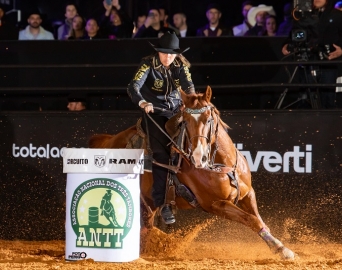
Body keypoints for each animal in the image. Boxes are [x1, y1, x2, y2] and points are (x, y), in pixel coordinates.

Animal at [89, 86, 296, 260]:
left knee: (145, 228)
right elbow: (251, 219)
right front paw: (281, 250)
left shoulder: (247, 194)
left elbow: (259, 219)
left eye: (209, 118)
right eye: (185, 122)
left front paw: (280, 246)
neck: (220, 164)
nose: (198, 156)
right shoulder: (215, 204)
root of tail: (105, 141)